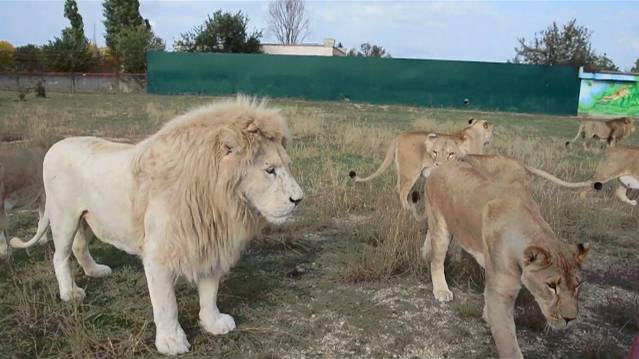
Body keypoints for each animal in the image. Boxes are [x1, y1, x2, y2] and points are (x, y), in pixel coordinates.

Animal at [9, 97, 304, 356]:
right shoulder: (159, 254)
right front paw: (171, 342)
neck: (218, 201)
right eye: (269, 170)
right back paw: (70, 293)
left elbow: (210, 291)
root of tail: (56, 145)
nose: (299, 199)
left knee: (79, 247)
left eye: (288, 166)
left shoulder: (210, 242)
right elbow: (166, 304)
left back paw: (95, 271)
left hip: (87, 218)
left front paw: (213, 323)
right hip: (64, 218)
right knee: (60, 256)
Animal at [350, 118, 496, 217]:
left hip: (402, 171)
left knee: (397, 188)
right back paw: (407, 209)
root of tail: (399, 136)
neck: (475, 132)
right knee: (402, 190)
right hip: (410, 172)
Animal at [422, 157, 592, 359]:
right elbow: (508, 343)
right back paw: (441, 289)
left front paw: (487, 315)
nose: (570, 319)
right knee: (437, 259)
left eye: (578, 285)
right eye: (551, 286)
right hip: (441, 227)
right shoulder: (502, 292)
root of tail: (443, 164)